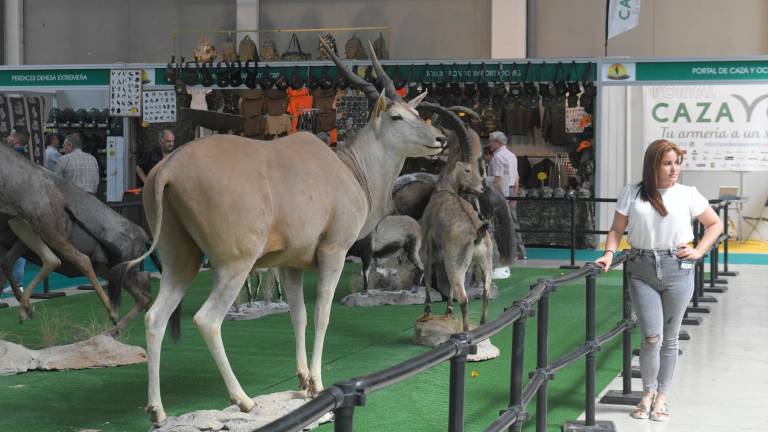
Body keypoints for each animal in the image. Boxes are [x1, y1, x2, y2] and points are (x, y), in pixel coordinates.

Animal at [116, 38, 474, 426]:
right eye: (397, 116)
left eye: (415, 112)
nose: (439, 138)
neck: (351, 169)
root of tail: (168, 168)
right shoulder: (333, 252)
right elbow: (322, 314)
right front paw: (317, 383)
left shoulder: (291, 264)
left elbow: (298, 315)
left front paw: (302, 379)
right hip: (233, 264)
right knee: (207, 319)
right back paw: (244, 401)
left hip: (182, 260)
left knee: (155, 317)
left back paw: (158, 411)